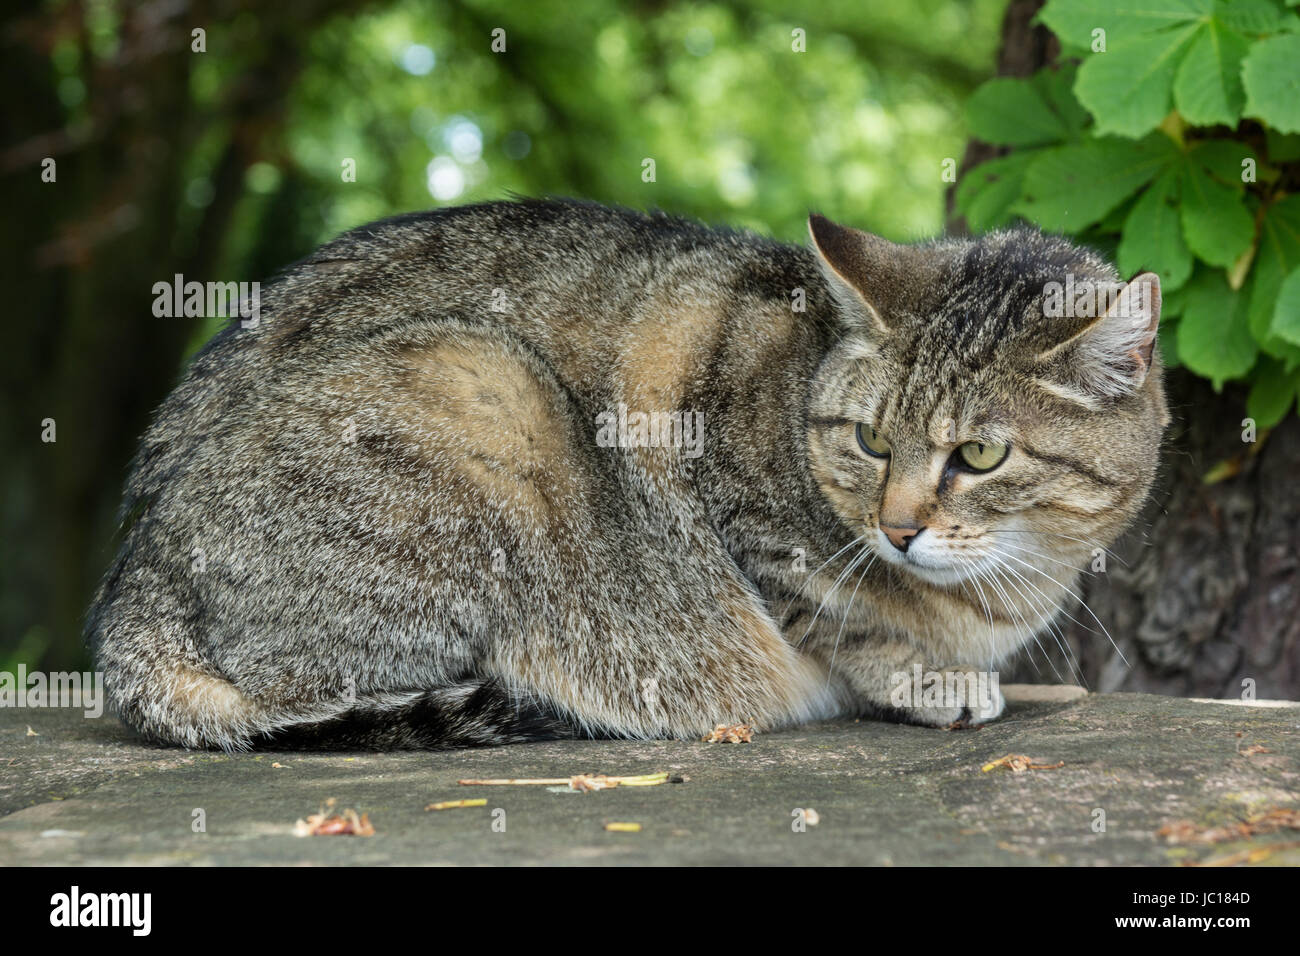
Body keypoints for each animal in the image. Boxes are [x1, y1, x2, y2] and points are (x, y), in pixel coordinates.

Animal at [86, 197, 1175, 749]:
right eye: (870, 441)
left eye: (978, 453)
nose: (899, 527)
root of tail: (137, 571)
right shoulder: (738, 501)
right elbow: (840, 615)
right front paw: (923, 674)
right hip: (482, 383)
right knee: (303, 690)